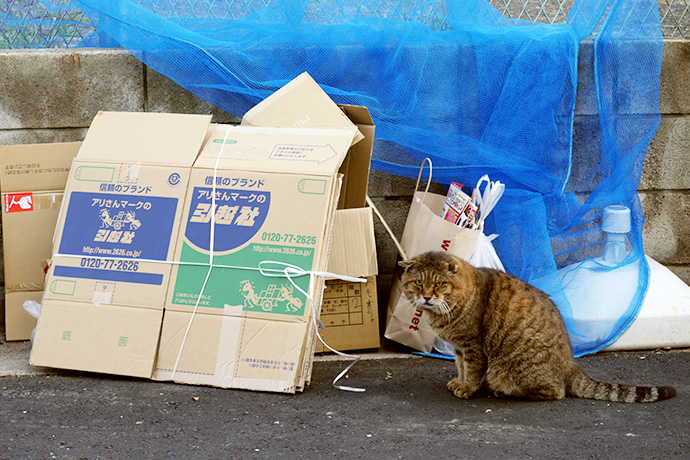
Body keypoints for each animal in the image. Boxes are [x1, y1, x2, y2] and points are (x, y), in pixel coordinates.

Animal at [398, 252, 672, 402]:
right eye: (418, 282)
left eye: (439, 284)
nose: (426, 297)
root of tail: (570, 364)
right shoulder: (459, 348)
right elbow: (461, 367)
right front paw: (459, 381)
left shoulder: (472, 346)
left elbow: (473, 370)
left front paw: (468, 388)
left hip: (511, 367)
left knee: (556, 391)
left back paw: (504, 391)